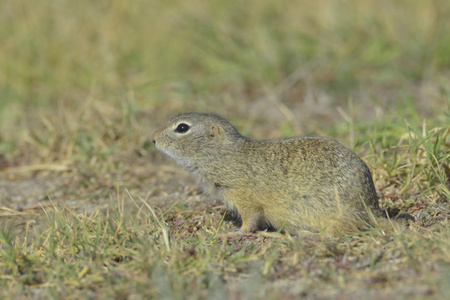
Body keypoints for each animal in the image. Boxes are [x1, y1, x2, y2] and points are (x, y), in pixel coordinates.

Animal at [152, 113, 412, 236]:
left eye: (182, 128)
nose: (152, 139)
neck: (223, 155)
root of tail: (371, 209)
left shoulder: (244, 195)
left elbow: (251, 220)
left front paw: (235, 233)